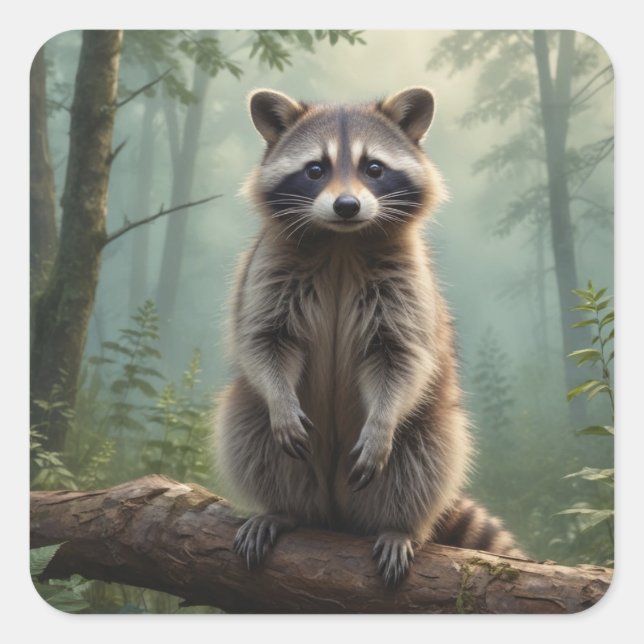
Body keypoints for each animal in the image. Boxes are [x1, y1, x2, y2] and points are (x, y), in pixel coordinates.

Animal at [214, 87, 523, 586]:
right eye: (315, 170)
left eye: (373, 168)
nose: (346, 206)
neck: (341, 240)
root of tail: (335, 511)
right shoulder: (266, 267)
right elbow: (263, 341)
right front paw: (280, 399)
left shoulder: (407, 284)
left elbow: (401, 357)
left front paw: (381, 423)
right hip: (262, 427)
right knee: (247, 427)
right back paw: (282, 509)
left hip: (428, 427)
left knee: (428, 457)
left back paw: (400, 526)